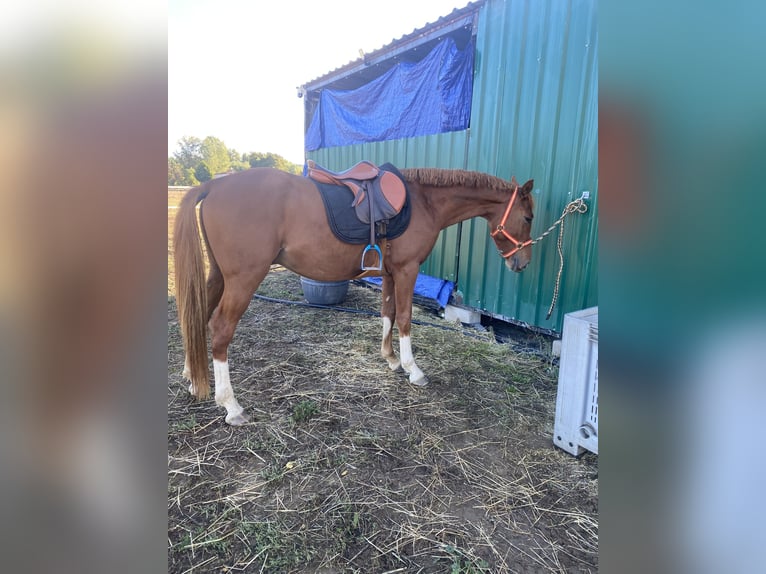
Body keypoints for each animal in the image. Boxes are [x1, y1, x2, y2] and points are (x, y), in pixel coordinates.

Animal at [174, 166, 536, 428]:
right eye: (528, 217)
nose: (522, 263)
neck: (424, 201)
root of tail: (215, 186)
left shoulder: (390, 273)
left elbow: (388, 313)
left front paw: (391, 359)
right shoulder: (407, 270)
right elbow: (405, 318)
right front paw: (413, 369)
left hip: (218, 276)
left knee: (197, 317)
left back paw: (193, 377)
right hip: (243, 279)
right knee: (220, 329)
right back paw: (230, 405)